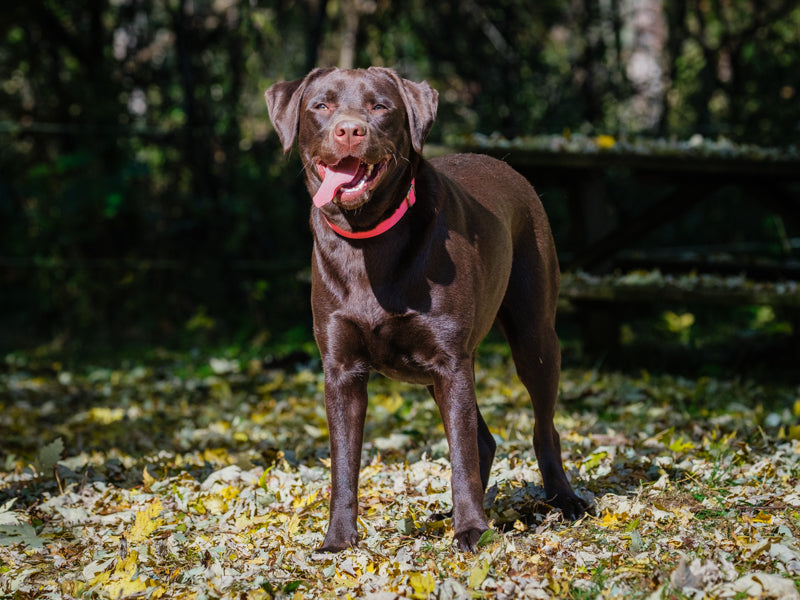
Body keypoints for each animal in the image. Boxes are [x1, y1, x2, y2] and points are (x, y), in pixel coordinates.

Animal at [268, 68, 588, 552]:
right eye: (321, 105)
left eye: (380, 106)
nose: (349, 130)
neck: (369, 241)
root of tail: (507, 166)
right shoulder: (341, 370)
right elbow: (344, 464)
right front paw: (338, 539)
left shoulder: (449, 360)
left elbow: (461, 455)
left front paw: (472, 529)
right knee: (484, 439)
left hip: (534, 336)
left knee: (541, 425)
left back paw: (563, 500)